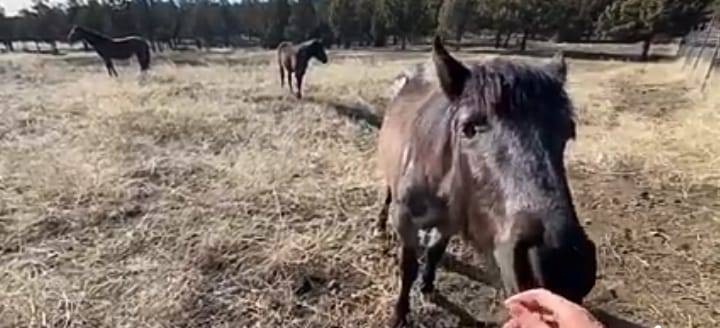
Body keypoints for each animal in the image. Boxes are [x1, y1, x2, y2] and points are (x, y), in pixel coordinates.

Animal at [376, 37, 596, 326]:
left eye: (568, 131)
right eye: (469, 128)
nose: (563, 264)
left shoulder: (451, 222)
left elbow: (434, 251)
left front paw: (427, 285)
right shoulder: (405, 221)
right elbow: (407, 268)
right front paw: (400, 313)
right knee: (386, 195)